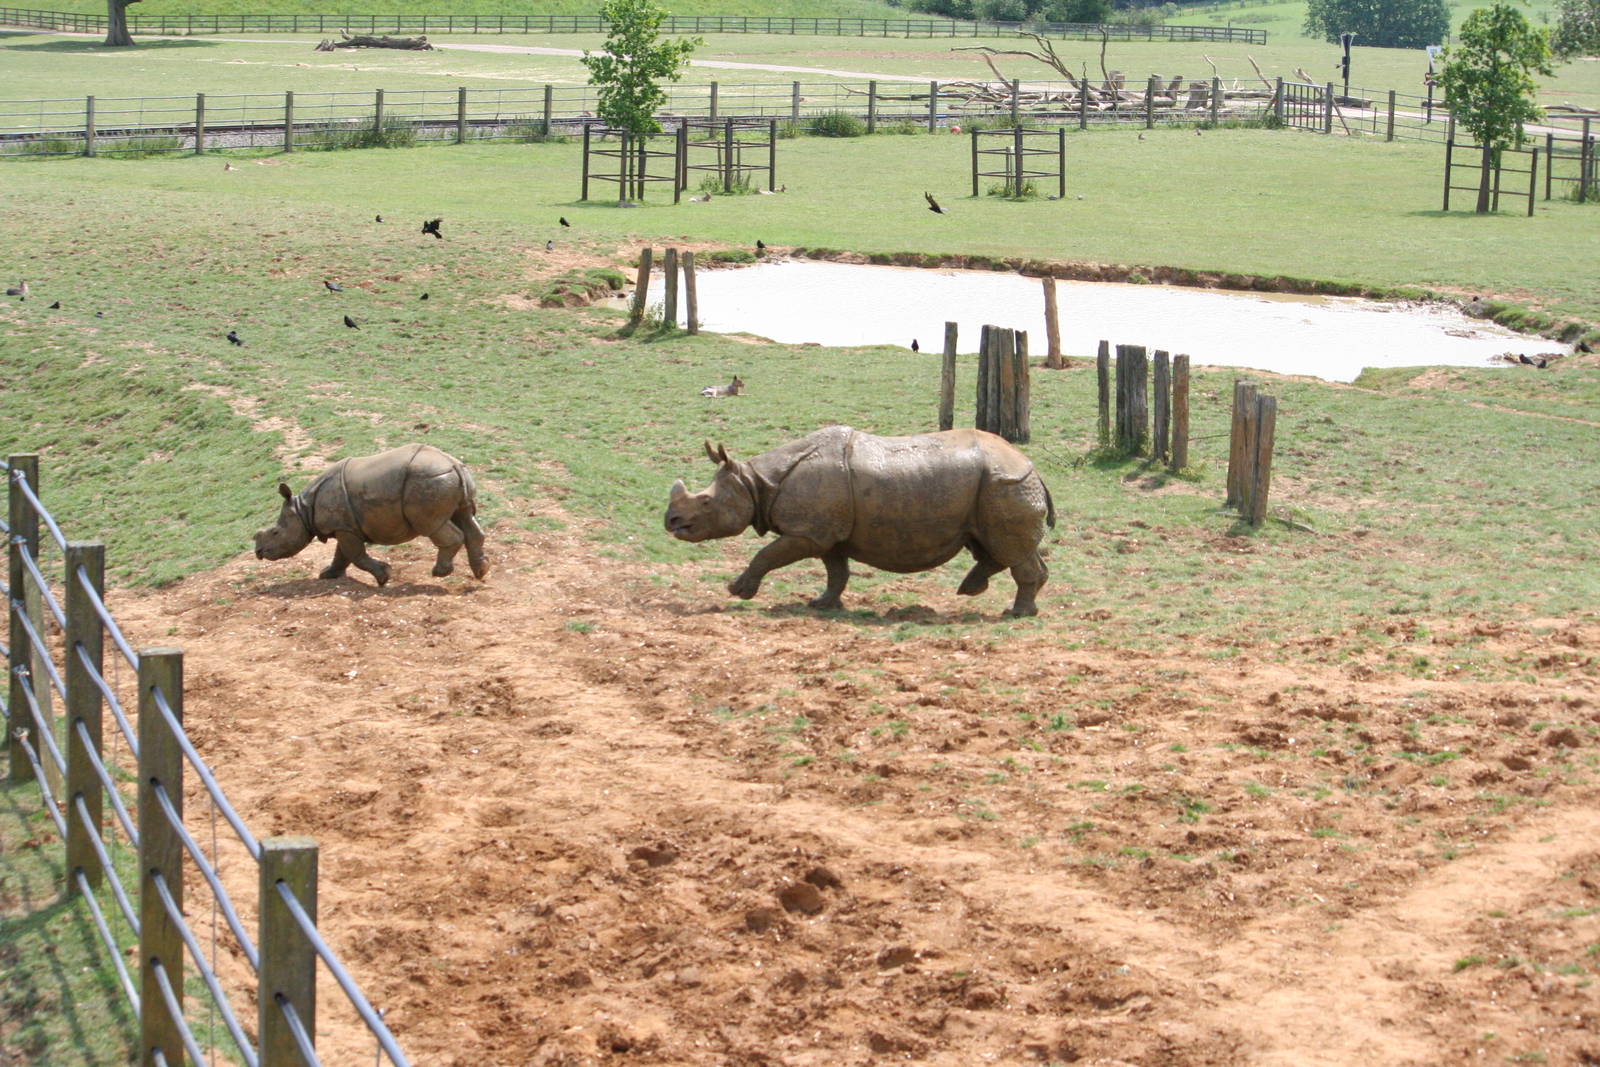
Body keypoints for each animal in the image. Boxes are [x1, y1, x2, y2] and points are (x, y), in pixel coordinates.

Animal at [253, 444, 488, 586]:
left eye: (275, 532)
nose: (258, 552)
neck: (304, 510)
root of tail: (455, 464)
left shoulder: (344, 527)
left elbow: (355, 555)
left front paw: (384, 576)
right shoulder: (345, 526)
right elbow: (341, 555)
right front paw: (327, 574)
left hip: (428, 480)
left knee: (432, 526)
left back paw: (439, 573)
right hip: (446, 480)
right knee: (465, 517)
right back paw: (482, 571)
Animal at [665, 426, 1054, 616]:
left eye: (706, 502)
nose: (670, 521)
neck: (756, 482)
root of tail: (1029, 463)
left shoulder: (808, 532)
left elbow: (766, 555)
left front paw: (738, 591)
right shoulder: (826, 533)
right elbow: (837, 572)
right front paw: (822, 605)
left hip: (1004, 484)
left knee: (1008, 548)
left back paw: (1015, 613)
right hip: (992, 488)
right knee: (993, 545)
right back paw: (975, 589)